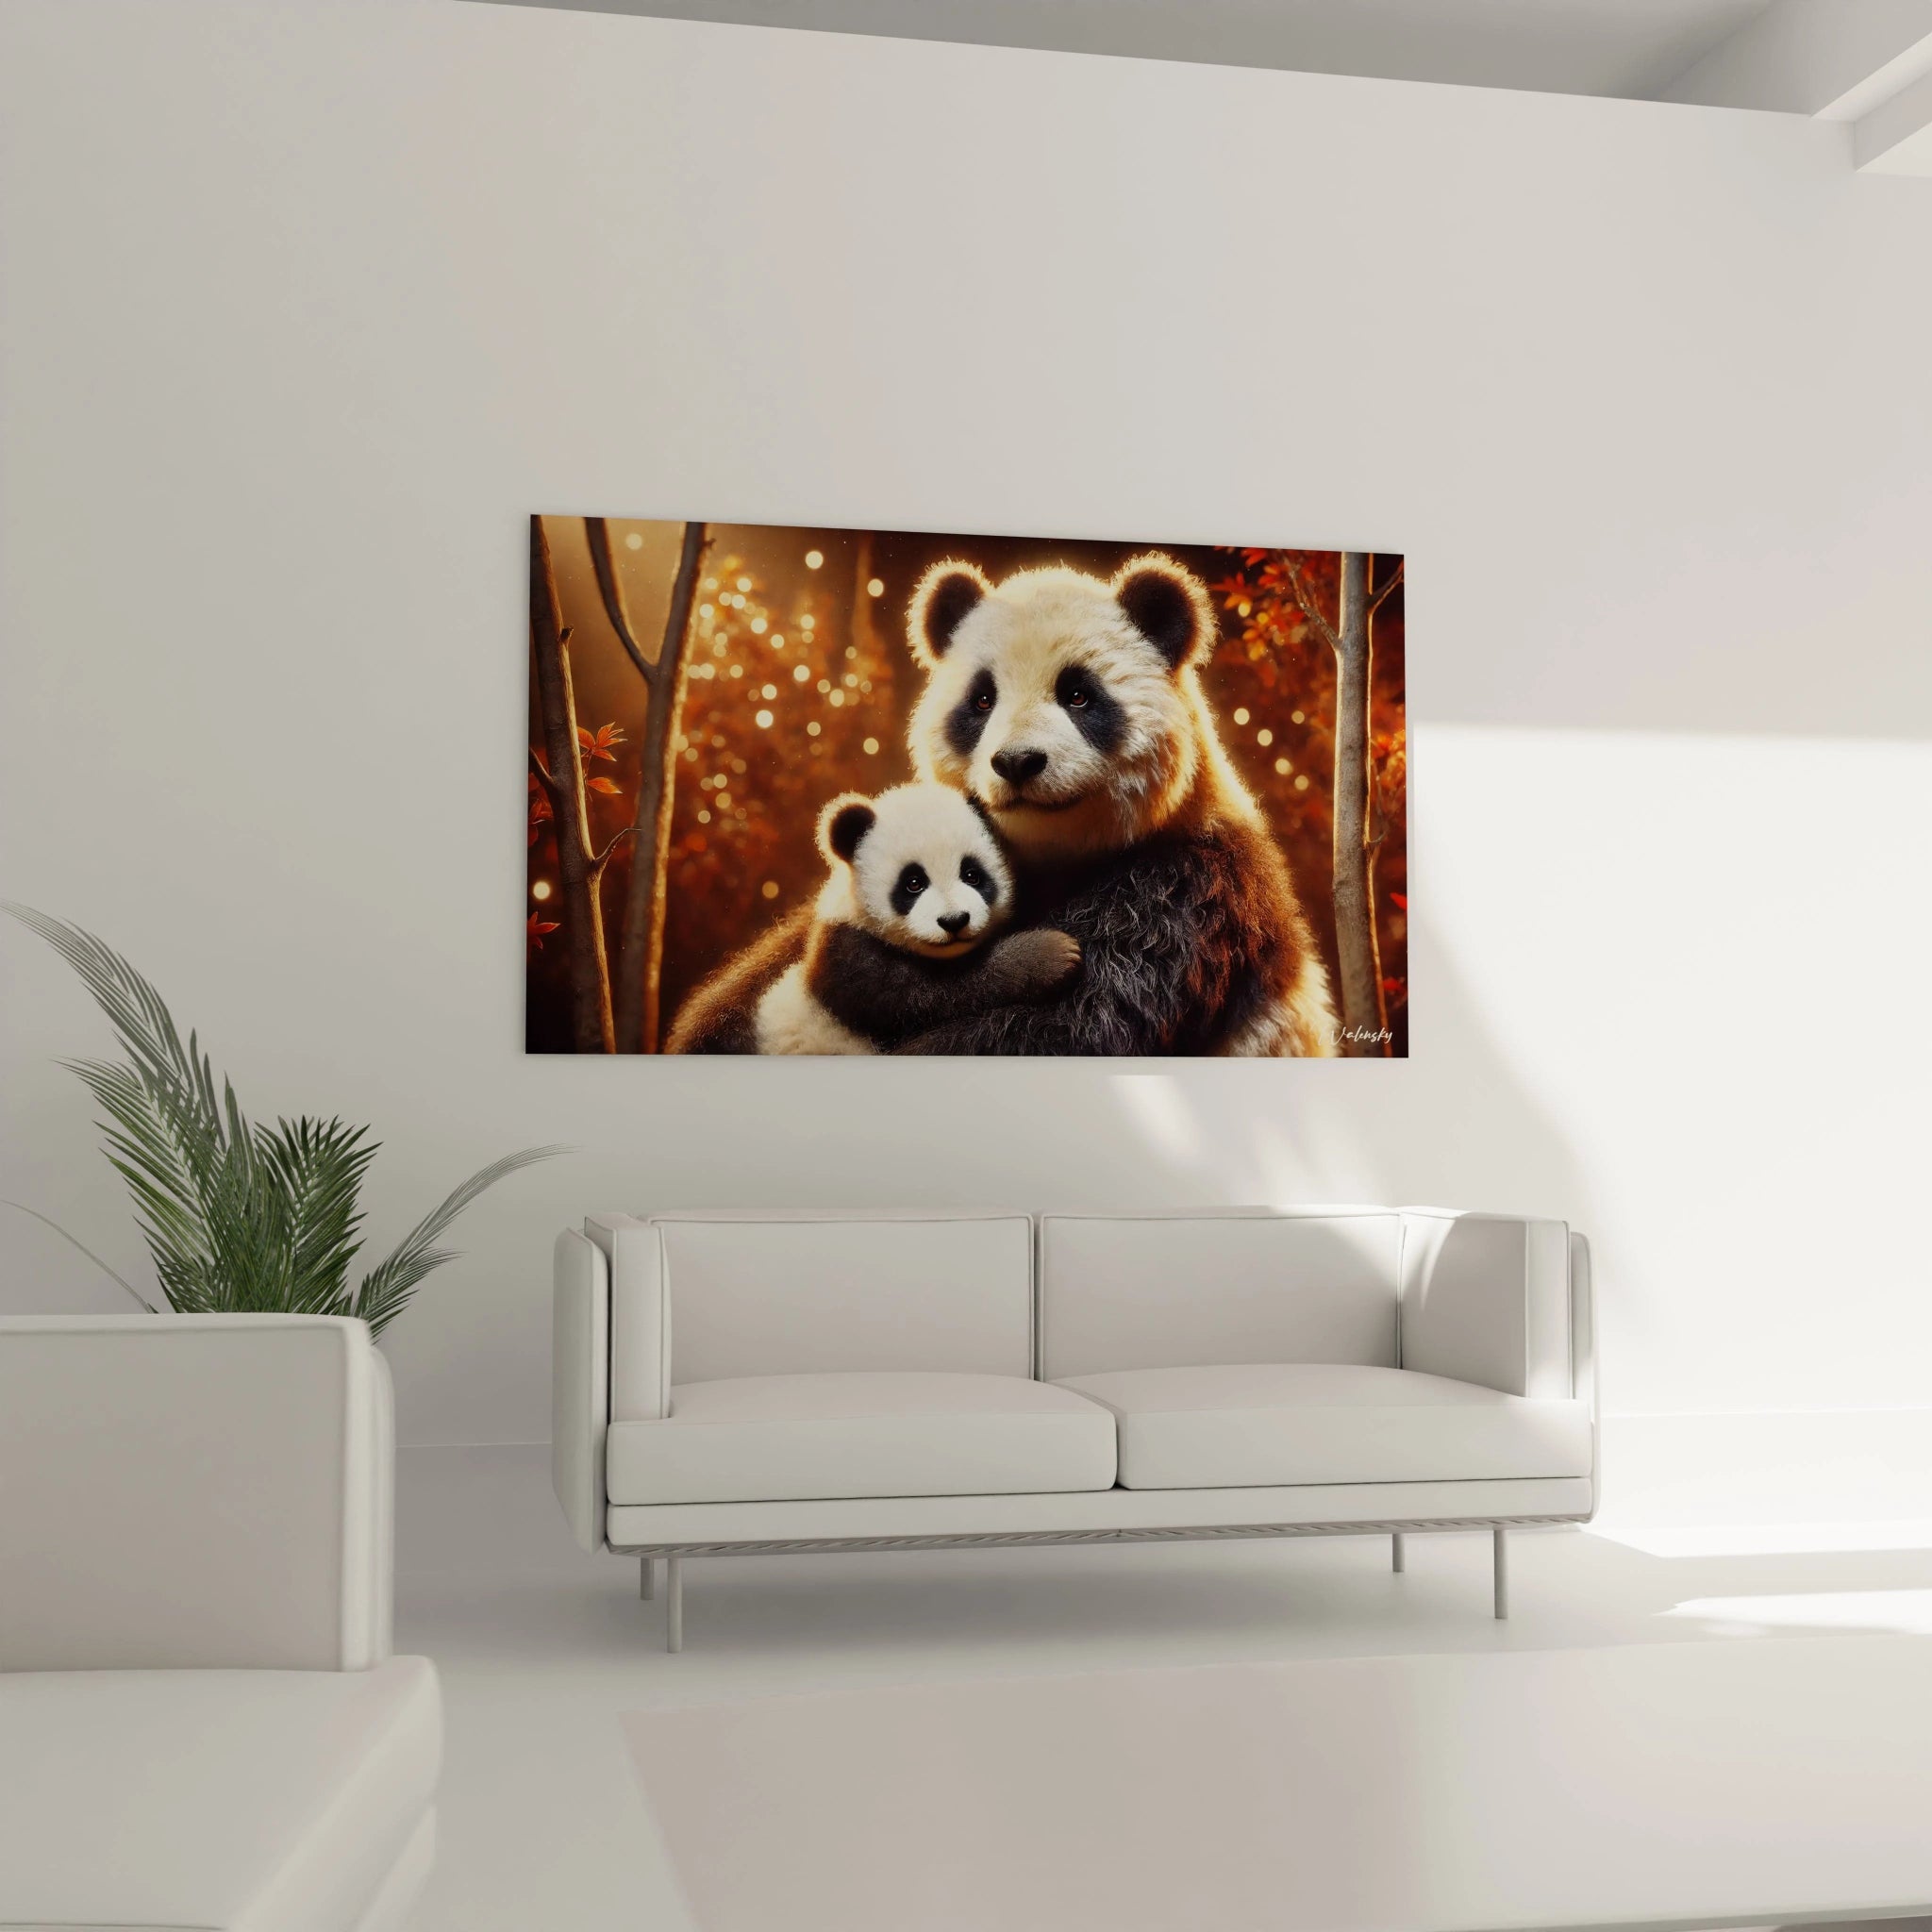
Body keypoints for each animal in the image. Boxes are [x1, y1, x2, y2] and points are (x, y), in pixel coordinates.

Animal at [664, 781, 1083, 1054]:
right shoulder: (843, 951)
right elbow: (913, 994)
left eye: (972, 874)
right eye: (913, 882)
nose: (954, 921)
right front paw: (1049, 955)